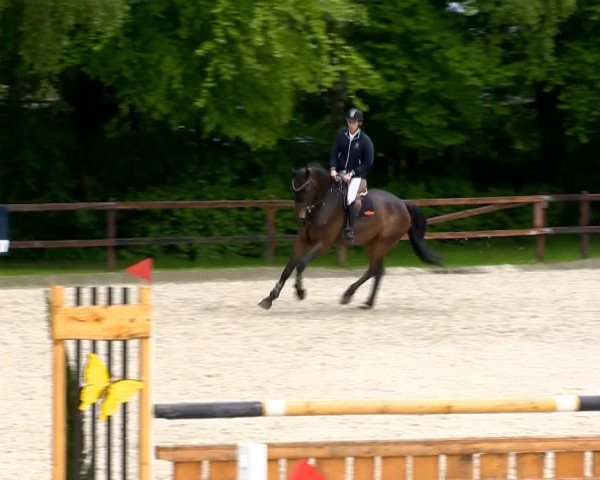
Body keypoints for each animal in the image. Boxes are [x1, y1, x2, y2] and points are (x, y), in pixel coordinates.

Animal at [255, 165, 442, 310]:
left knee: (374, 269)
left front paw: (300, 292)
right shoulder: (302, 241)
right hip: (371, 242)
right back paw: (367, 303)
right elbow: (288, 269)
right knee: (378, 271)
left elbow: (300, 264)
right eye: (293, 190)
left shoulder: (323, 243)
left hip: (382, 243)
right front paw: (269, 299)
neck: (321, 205)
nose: (300, 217)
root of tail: (403, 204)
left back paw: (349, 295)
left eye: (306, 190)